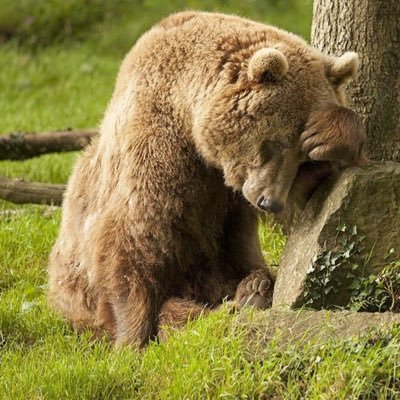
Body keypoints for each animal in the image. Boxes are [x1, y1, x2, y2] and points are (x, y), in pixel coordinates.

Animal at [47, 10, 366, 346]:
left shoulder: (234, 189)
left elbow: (310, 211)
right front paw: (132, 337)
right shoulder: (158, 144)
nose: (270, 202)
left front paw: (332, 134)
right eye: (275, 143)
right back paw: (243, 298)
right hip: (77, 293)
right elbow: (136, 232)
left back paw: (255, 288)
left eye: (304, 158)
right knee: (175, 308)